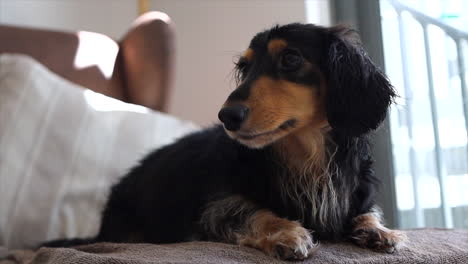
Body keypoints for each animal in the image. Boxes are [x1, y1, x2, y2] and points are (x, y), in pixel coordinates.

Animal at [42, 24, 404, 260]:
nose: (227, 116)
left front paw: (378, 230)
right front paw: (287, 232)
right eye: (245, 66)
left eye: (290, 58)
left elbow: (367, 210)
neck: (305, 156)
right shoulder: (213, 209)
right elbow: (253, 211)